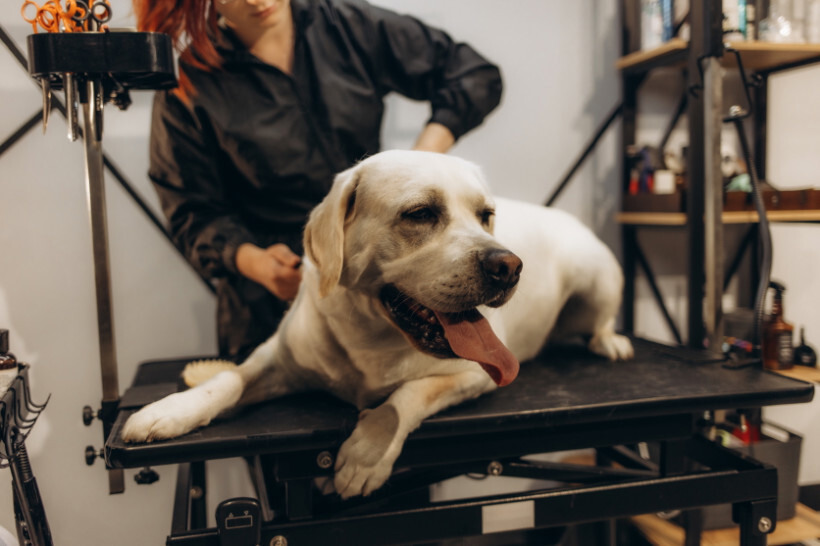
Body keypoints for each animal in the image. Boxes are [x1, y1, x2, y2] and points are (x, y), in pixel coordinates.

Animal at [123, 149, 636, 498]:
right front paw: (170, 410)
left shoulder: (473, 375)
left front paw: (365, 455)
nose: (508, 265)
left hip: (598, 276)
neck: (369, 336)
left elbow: (402, 399)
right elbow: (228, 380)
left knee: (600, 319)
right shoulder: (276, 358)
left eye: (485, 216)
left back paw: (611, 341)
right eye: (421, 213)